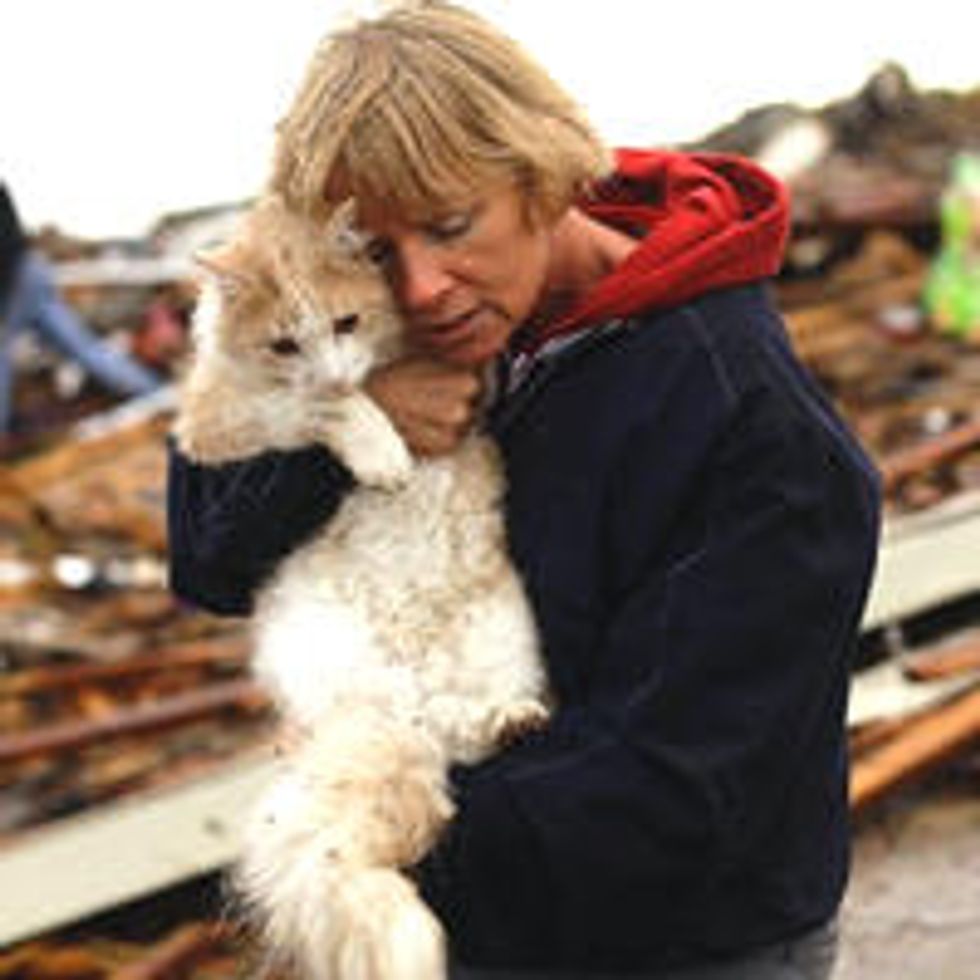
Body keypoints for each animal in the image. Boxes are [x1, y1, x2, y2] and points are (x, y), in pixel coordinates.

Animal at [172, 193, 548, 980]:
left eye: (346, 322)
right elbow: (313, 409)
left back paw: (510, 718)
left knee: (462, 730)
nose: (339, 374)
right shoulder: (219, 425)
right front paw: (380, 450)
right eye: (284, 345)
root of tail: (399, 706)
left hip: (496, 642)